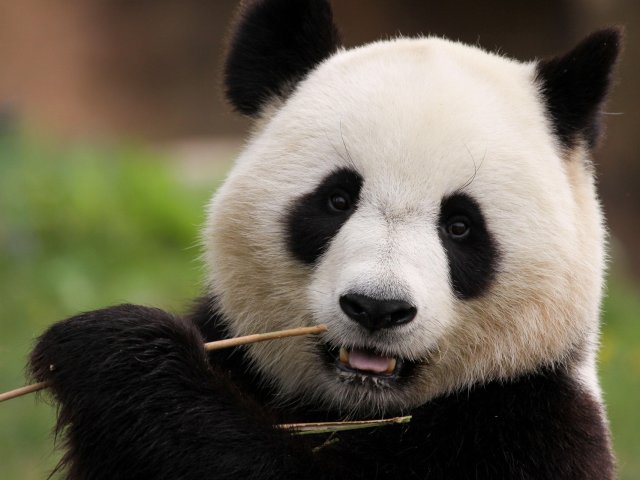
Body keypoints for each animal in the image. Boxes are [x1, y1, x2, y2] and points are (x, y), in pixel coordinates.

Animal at [29, 1, 620, 478]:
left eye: (460, 226)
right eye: (337, 199)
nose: (377, 308)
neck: (355, 408)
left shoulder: (525, 429)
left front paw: (113, 348)